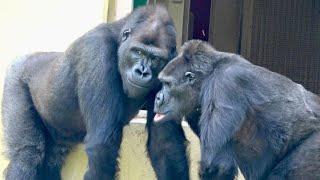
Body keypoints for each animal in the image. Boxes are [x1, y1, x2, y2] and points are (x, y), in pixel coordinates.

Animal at [0, 5, 190, 180]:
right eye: (138, 52)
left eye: (155, 58)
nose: (142, 72)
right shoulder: (97, 51)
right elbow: (102, 145)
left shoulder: (173, 63)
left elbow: (165, 142)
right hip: (15, 78)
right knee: (26, 154)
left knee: (51, 159)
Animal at [154, 40, 320, 180]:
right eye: (162, 83)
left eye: (167, 84)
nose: (157, 97)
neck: (209, 74)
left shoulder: (225, 84)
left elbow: (216, 166)